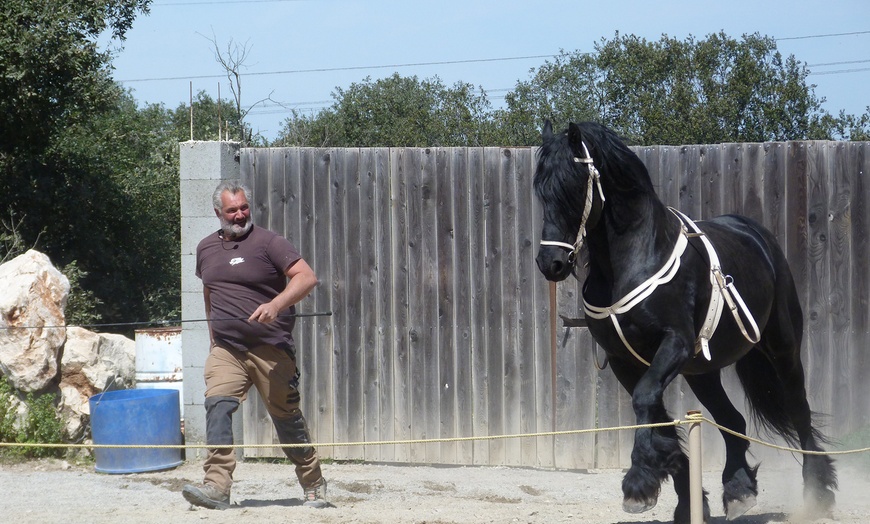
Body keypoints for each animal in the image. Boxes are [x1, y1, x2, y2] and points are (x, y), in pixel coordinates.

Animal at [536, 119, 840, 524]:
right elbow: (656, 413)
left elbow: (646, 399)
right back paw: (739, 489)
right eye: (541, 191)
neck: (633, 260)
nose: (550, 263)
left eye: (573, 187)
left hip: (783, 351)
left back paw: (817, 492)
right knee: (734, 421)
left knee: (799, 412)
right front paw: (678, 495)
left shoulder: (674, 344)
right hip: (702, 372)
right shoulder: (623, 360)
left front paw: (638, 482)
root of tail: (758, 237)